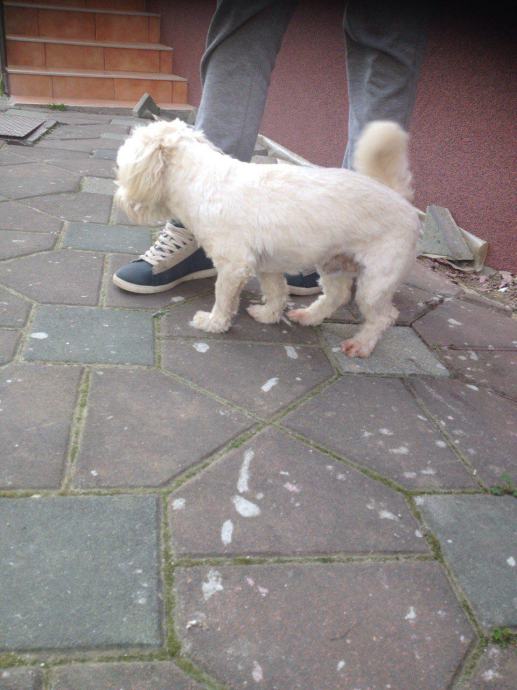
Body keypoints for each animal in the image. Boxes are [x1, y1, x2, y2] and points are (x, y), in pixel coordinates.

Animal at [115, 118, 420, 357]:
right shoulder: (268, 266)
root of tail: (399, 198)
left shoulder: (233, 266)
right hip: (333, 264)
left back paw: (362, 344)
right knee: (337, 295)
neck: (201, 182)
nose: (119, 199)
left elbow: (223, 298)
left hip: (376, 283)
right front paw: (268, 316)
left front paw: (214, 323)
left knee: (384, 317)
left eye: (122, 168)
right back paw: (308, 316)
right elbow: (276, 293)